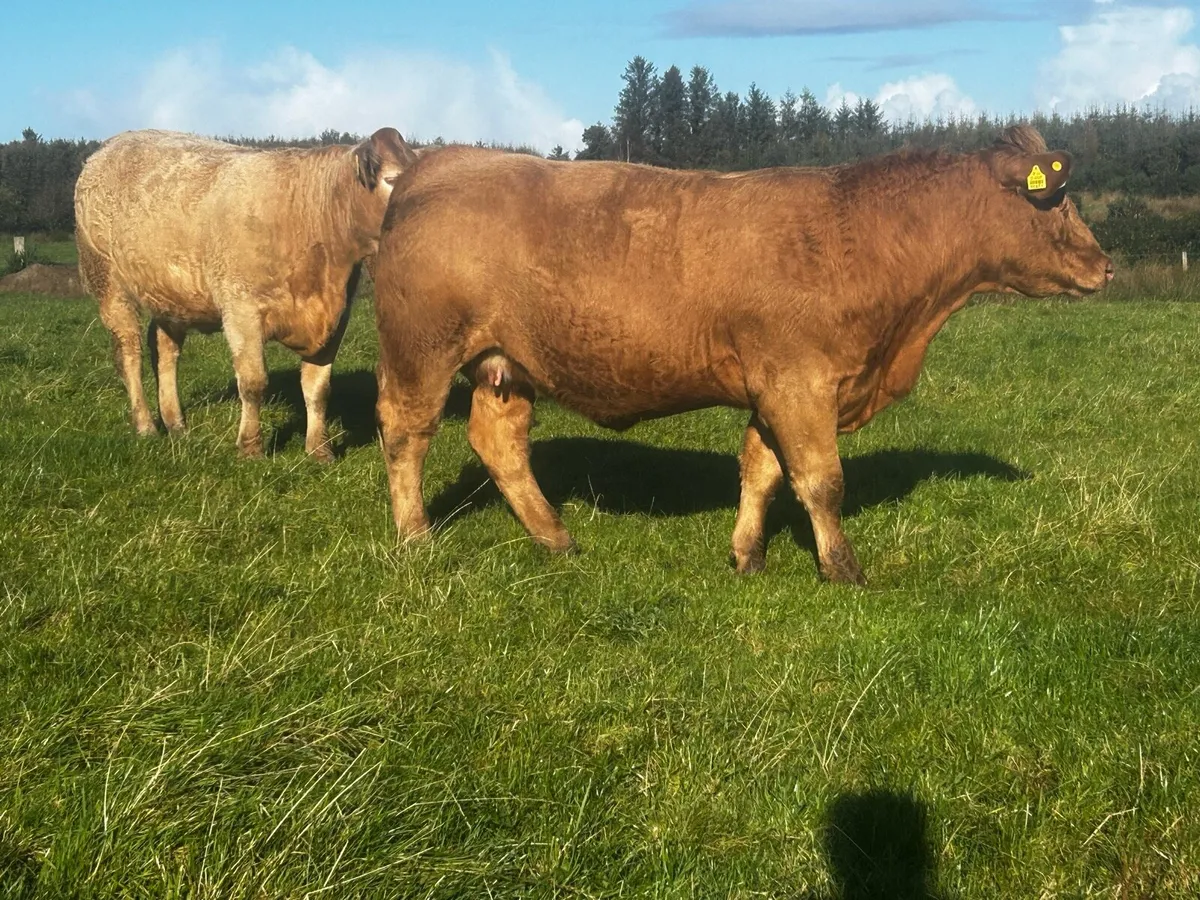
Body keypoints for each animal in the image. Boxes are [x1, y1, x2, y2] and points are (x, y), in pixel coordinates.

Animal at [74, 127, 416, 460]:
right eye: (391, 180)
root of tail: (110, 145)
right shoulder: (242, 310)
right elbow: (253, 383)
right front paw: (251, 448)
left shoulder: (336, 317)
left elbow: (318, 387)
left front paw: (319, 450)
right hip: (107, 281)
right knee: (129, 354)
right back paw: (146, 425)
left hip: (170, 294)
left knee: (164, 349)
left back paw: (176, 424)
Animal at [372, 125, 1112, 583]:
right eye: (1056, 198)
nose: (1105, 265)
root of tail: (440, 159)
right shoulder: (799, 383)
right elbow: (821, 480)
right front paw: (843, 569)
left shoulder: (776, 386)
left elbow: (761, 471)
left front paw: (747, 557)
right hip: (420, 349)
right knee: (406, 433)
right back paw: (414, 539)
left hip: (505, 364)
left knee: (499, 443)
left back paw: (557, 540)